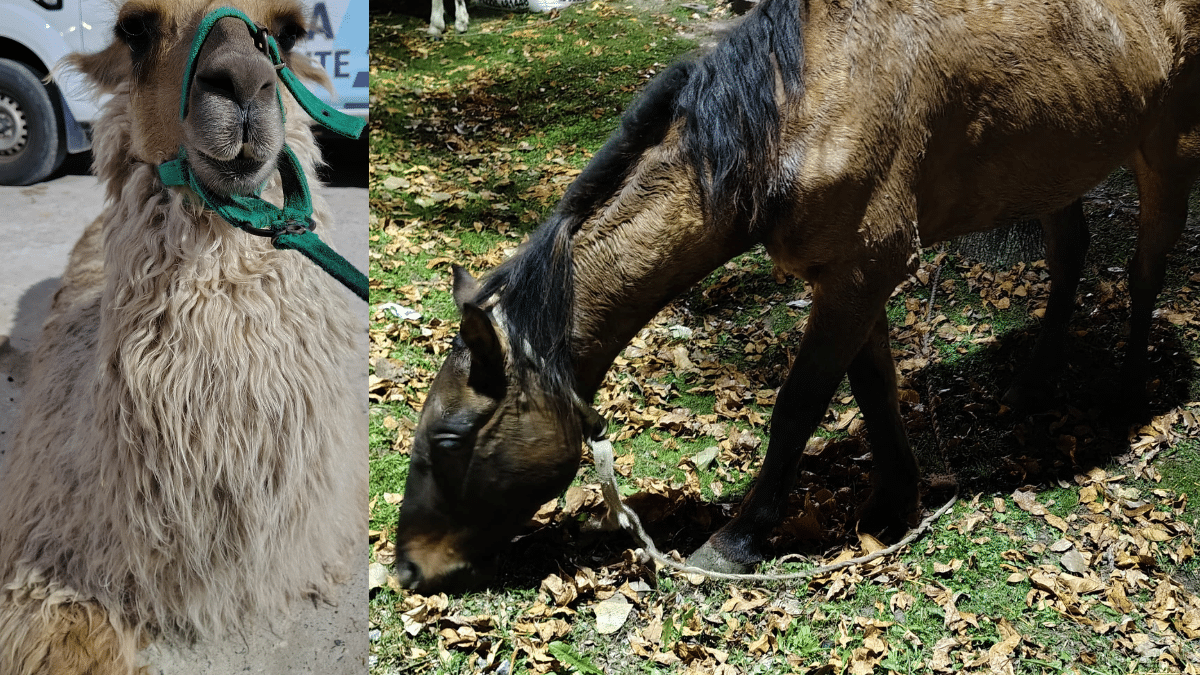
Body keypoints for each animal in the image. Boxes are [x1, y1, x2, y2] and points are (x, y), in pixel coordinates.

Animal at [395, 0, 1200, 591]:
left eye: (448, 439)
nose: (407, 568)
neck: (794, 112)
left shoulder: (865, 268)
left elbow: (800, 402)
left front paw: (738, 539)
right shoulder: (849, 274)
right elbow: (872, 387)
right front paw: (895, 499)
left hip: (1167, 149)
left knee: (1145, 270)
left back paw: (1128, 388)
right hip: (1055, 162)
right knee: (1069, 256)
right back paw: (1033, 382)